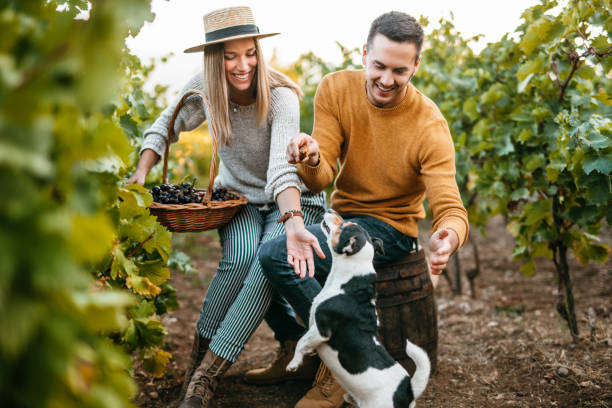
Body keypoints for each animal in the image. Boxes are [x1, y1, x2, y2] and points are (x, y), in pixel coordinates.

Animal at [286, 210, 430, 408]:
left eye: (342, 226)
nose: (330, 210)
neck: (348, 280)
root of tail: (407, 391)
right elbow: (305, 342)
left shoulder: (321, 330)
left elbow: (301, 342)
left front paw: (294, 363)